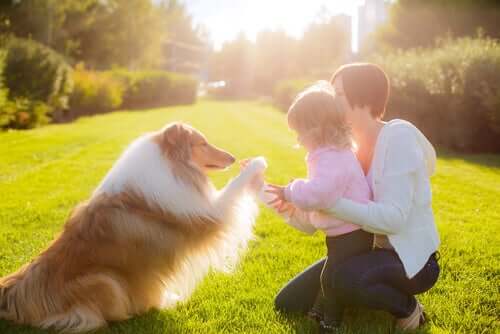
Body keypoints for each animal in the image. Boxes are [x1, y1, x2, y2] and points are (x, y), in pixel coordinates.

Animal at [0, 122, 266, 332]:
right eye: (202, 143)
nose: (233, 158)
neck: (170, 165)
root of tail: (14, 294)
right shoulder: (210, 216)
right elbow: (234, 188)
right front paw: (258, 164)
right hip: (106, 280)